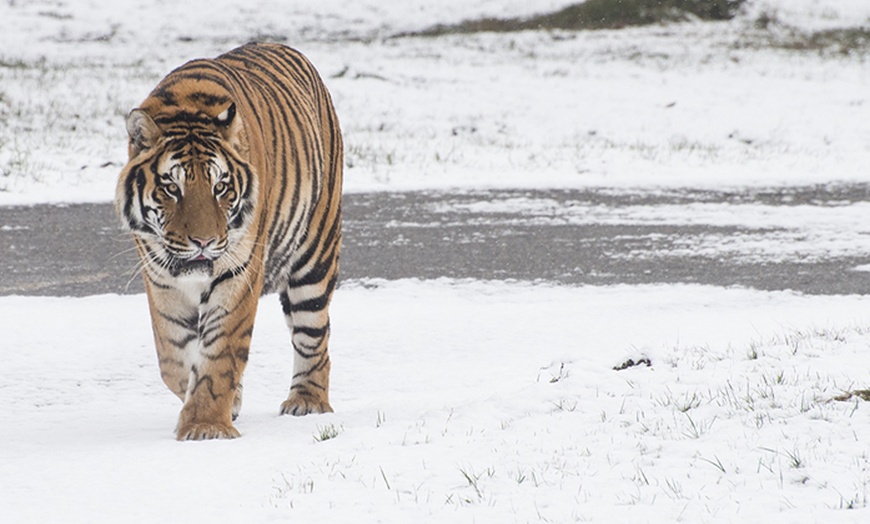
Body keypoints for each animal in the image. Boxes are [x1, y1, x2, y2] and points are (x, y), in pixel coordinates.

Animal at [115, 43, 344, 440]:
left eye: (220, 186)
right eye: (171, 187)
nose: (204, 241)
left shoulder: (238, 273)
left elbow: (220, 353)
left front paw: (205, 424)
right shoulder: (161, 280)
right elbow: (172, 355)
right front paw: (224, 402)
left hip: (314, 255)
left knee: (314, 335)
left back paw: (307, 402)